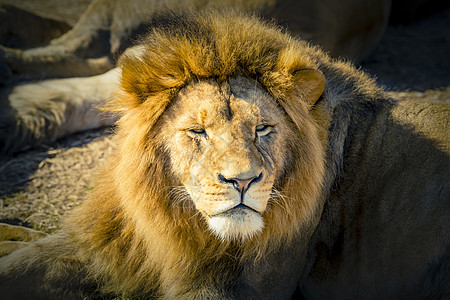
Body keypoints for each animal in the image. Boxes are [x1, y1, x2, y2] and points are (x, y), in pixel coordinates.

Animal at [0, 9, 450, 300]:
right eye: (198, 132)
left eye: (263, 129)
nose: (243, 181)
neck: (178, 224)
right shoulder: (101, 245)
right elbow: (21, 266)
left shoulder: (233, 286)